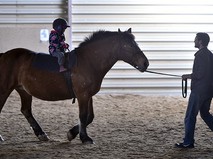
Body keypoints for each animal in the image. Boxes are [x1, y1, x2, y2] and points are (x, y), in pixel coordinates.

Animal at [0, 28, 149, 143]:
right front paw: (85, 138)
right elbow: (83, 116)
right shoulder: (82, 95)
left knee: (26, 110)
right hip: (4, 90)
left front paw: (71, 133)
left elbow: (89, 117)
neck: (88, 61)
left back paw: (41, 134)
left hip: (23, 90)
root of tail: (4, 55)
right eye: (128, 46)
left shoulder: (88, 96)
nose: (145, 63)